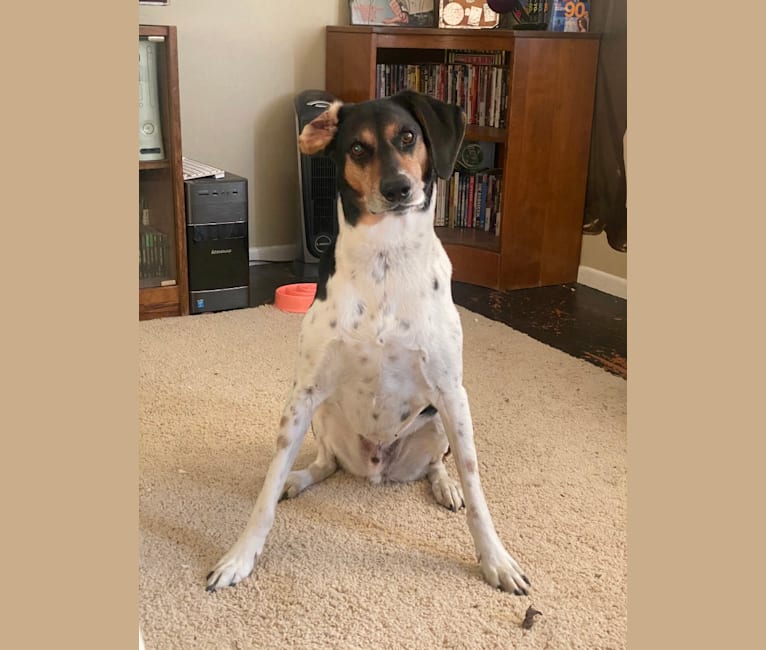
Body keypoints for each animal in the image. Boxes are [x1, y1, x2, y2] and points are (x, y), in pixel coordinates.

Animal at [206, 90, 529, 595]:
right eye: (357, 148)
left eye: (408, 136)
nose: (398, 188)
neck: (385, 256)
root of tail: (379, 468)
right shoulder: (302, 395)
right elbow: (266, 490)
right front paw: (241, 555)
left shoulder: (452, 393)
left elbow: (477, 488)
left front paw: (496, 560)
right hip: (324, 416)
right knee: (328, 463)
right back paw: (299, 479)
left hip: (441, 421)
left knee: (437, 464)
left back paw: (445, 487)